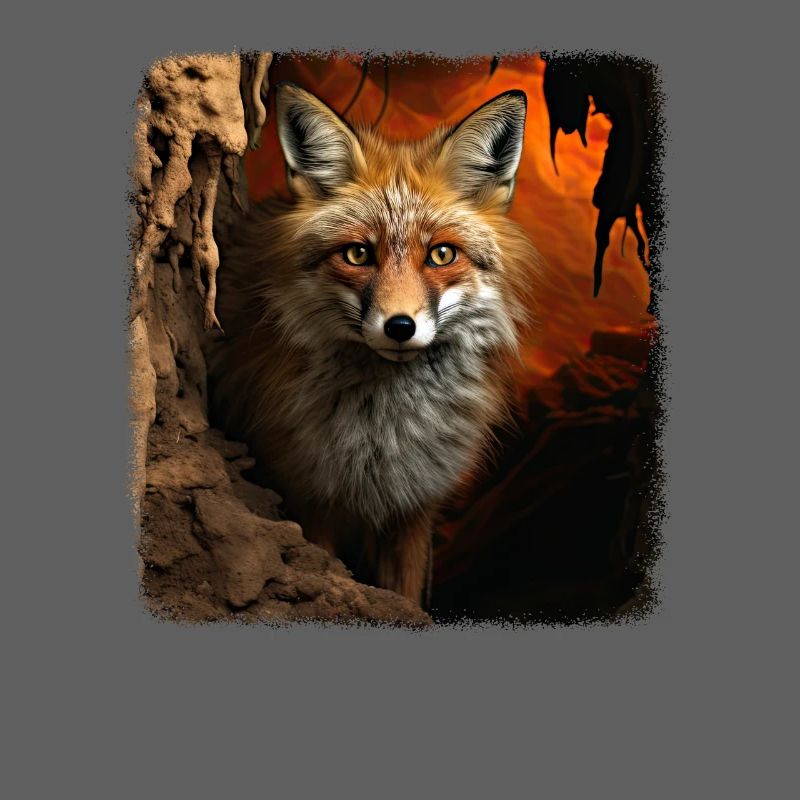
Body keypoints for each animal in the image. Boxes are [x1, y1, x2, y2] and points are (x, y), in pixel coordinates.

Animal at [206, 80, 541, 608]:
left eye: (441, 254)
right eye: (358, 254)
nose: (399, 326)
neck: (383, 437)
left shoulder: (415, 508)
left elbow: (406, 596)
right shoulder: (310, 500)